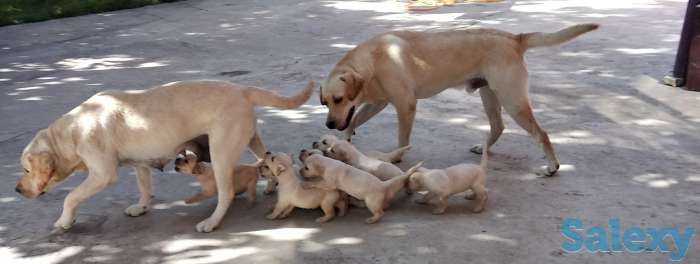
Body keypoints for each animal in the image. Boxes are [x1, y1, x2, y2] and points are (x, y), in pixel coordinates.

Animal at [15, 79, 314, 232]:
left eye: (27, 170)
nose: (17, 190)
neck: (71, 131)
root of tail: (241, 89)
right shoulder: (139, 165)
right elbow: (145, 188)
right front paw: (142, 206)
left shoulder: (102, 175)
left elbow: (70, 197)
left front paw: (64, 221)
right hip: (251, 139)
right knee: (269, 156)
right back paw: (273, 183)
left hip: (221, 152)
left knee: (226, 192)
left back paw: (212, 222)